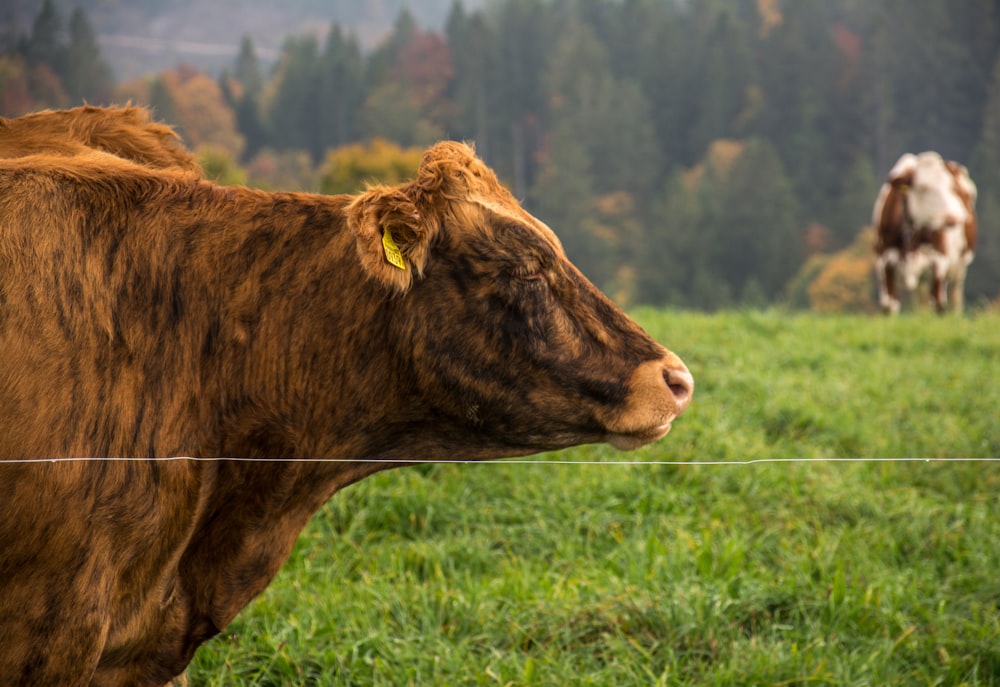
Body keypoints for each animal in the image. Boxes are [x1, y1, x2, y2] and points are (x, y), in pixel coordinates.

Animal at [876, 153, 976, 314]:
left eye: (951, 187)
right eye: (923, 188)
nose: (955, 217)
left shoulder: (939, 260)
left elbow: (938, 303)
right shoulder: (885, 260)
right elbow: (890, 305)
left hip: (959, 267)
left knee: (955, 297)